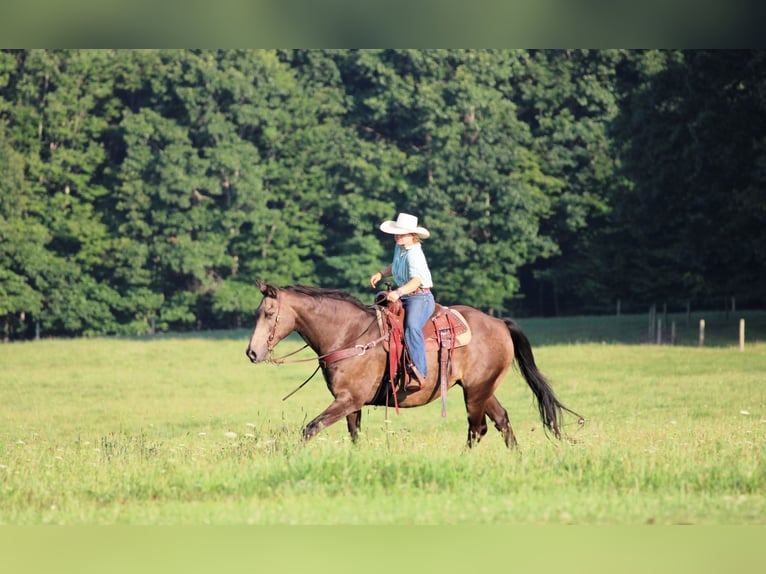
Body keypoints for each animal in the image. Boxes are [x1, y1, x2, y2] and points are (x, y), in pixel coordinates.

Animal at [245, 282, 582, 447]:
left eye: (269, 314)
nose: (252, 352)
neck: (350, 335)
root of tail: (499, 322)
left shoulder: (347, 400)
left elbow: (310, 429)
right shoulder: (350, 403)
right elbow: (354, 436)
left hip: (475, 391)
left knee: (478, 428)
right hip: (481, 389)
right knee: (501, 421)